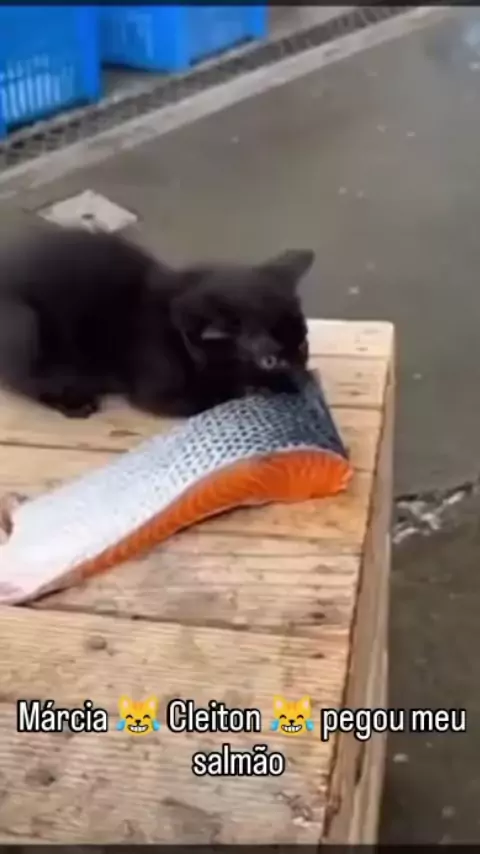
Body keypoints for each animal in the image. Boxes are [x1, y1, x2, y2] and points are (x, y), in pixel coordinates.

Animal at [0, 225, 315, 419]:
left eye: (302, 345)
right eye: (270, 361)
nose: (302, 382)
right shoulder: (161, 394)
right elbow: (217, 395)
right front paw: (252, 388)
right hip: (26, 327)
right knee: (24, 382)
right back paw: (73, 402)